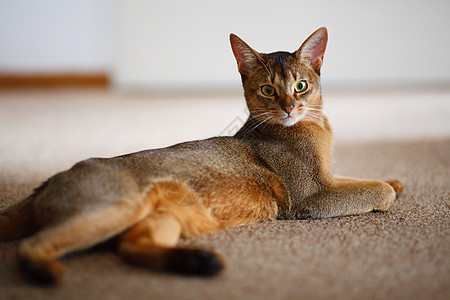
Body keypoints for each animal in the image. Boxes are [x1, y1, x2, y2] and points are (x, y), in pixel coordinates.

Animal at [0, 27, 404, 284]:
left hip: (160, 215)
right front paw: (389, 190)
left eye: (301, 86)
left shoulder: (328, 178)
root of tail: (44, 184)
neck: (316, 129)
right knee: (31, 245)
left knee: (129, 247)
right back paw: (47, 273)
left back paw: (198, 261)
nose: (290, 107)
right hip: (115, 204)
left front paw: (396, 180)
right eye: (268, 90)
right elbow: (374, 189)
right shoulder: (310, 196)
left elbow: (359, 177)